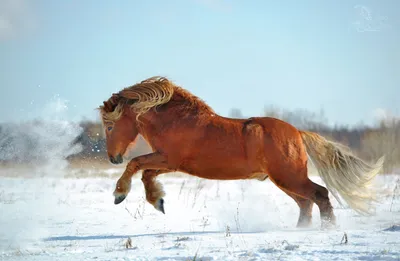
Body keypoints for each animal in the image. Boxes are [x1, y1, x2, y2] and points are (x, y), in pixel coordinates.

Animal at [97, 75, 384, 228]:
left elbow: (136, 164)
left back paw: (327, 230)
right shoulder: (169, 163)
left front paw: (119, 194)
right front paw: (158, 201)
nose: (113, 157)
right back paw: (301, 229)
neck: (177, 121)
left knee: (319, 195)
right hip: (285, 180)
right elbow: (146, 173)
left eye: (110, 126)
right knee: (306, 202)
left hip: (289, 177)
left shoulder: (170, 159)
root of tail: (297, 133)